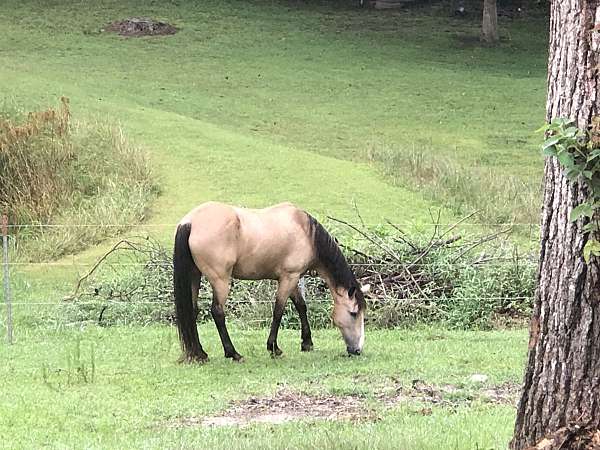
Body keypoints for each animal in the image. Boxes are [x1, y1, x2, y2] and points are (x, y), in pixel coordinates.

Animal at [172, 200, 366, 362]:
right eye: (353, 313)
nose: (357, 350)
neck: (305, 231)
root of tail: (190, 222)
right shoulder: (289, 277)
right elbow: (279, 310)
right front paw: (274, 348)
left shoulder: (292, 278)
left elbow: (301, 306)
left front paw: (307, 343)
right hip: (220, 280)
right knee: (217, 312)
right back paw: (233, 353)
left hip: (195, 276)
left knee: (192, 311)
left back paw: (200, 354)